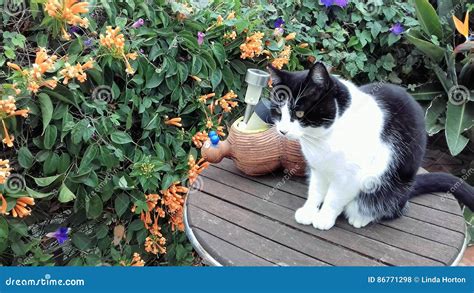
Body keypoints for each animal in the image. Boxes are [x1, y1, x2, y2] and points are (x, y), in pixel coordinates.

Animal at [268, 62, 472, 230]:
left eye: (300, 113)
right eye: (278, 111)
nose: (283, 131)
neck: (321, 140)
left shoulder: (350, 176)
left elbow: (334, 198)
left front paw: (324, 217)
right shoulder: (317, 169)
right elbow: (315, 191)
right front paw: (309, 211)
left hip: (389, 184)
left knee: (391, 207)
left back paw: (362, 217)